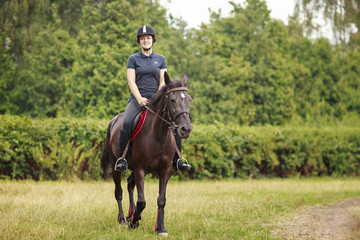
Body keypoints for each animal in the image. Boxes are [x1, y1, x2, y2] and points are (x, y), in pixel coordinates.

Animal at [100, 71, 193, 236]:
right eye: (173, 100)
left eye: (189, 99)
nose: (186, 129)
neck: (158, 135)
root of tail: (114, 121)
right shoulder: (140, 169)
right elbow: (142, 201)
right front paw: (133, 222)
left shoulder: (165, 170)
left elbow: (161, 200)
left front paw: (160, 228)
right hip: (115, 166)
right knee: (119, 192)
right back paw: (123, 219)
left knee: (130, 184)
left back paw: (131, 215)